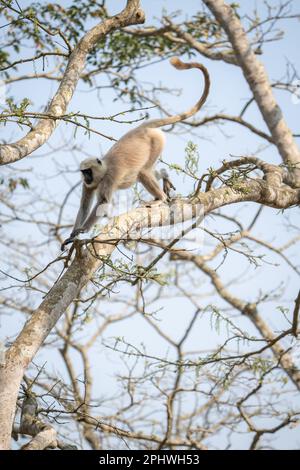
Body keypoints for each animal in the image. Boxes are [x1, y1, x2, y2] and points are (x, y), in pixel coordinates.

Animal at [61, 57, 210, 252]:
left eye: (88, 172)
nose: (85, 178)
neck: (103, 169)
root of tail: (141, 128)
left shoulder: (110, 176)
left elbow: (103, 203)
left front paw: (81, 231)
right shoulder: (91, 185)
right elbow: (84, 205)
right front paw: (73, 234)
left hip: (156, 141)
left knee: (143, 172)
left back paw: (160, 198)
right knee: (146, 171)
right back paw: (164, 176)